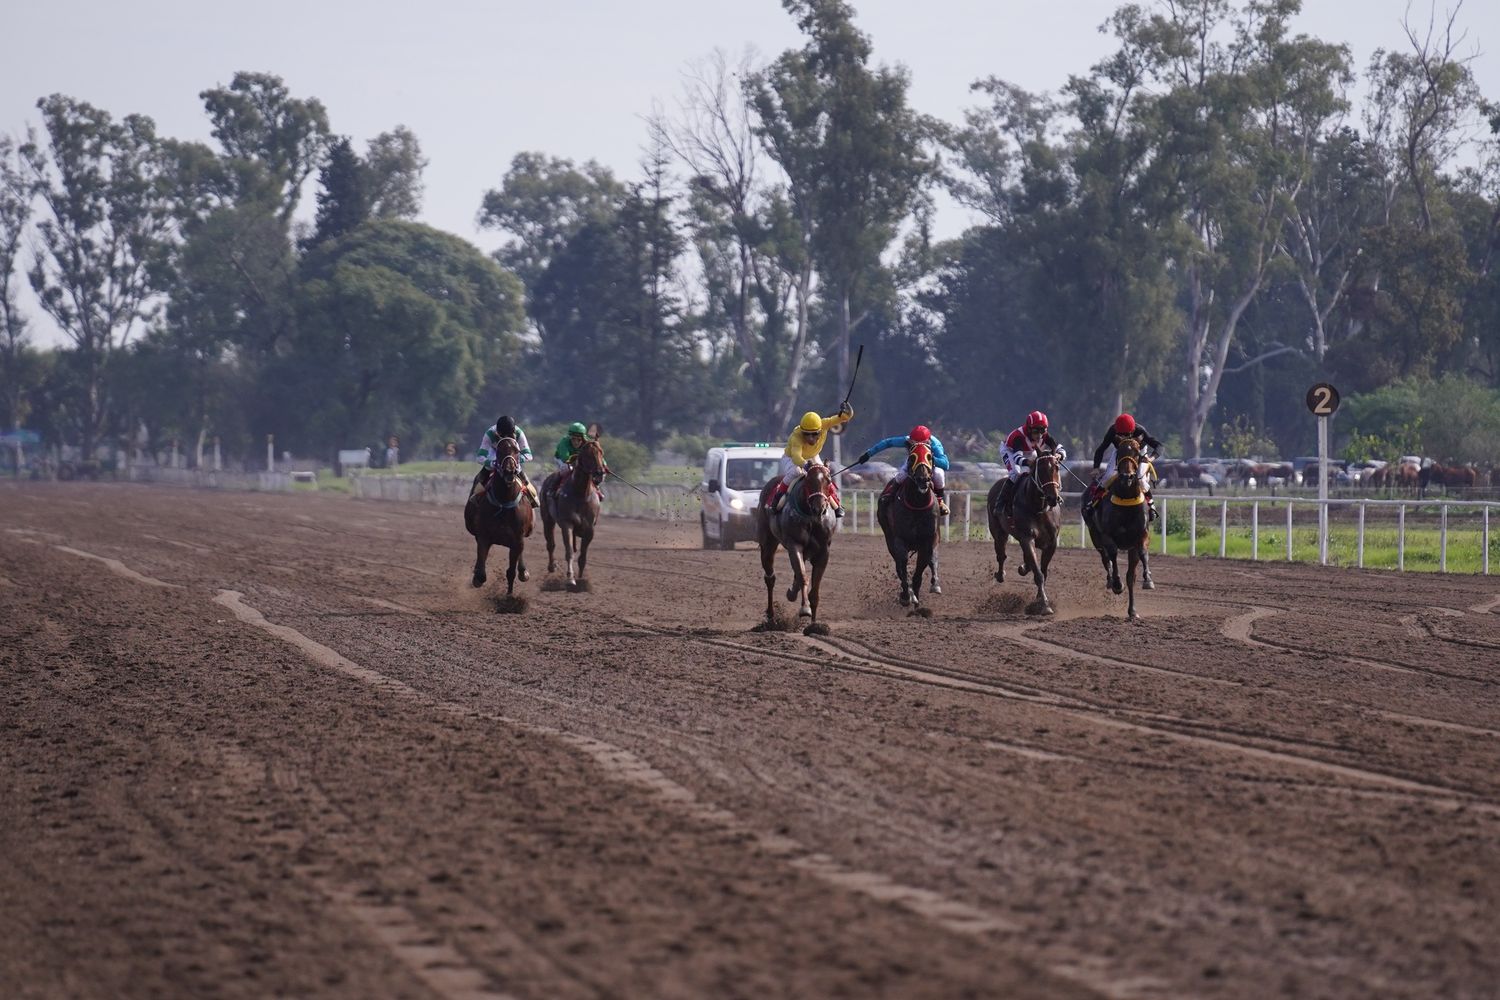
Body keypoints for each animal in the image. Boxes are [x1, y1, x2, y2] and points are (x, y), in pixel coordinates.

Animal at [468, 437, 540, 593]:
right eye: (499, 450)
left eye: (517, 451)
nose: (509, 471)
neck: (503, 501)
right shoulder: (484, 536)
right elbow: (481, 574)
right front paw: (477, 577)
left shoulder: (517, 539)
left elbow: (511, 571)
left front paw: (509, 596)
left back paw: (523, 572)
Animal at [543, 440, 606, 590]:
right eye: (587, 454)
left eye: (601, 452)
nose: (599, 473)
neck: (580, 493)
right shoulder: (567, 524)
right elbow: (570, 551)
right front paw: (571, 579)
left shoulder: (590, 529)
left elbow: (583, 557)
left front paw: (581, 579)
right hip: (547, 519)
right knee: (550, 544)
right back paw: (552, 566)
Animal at [876, 443, 942, 611]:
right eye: (912, 457)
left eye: (930, 456)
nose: (923, 479)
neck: (917, 504)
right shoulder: (899, 540)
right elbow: (902, 566)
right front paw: (906, 596)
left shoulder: (927, 541)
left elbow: (920, 570)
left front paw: (916, 600)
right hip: (889, 537)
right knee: (899, 565)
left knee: (933, 559)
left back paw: (934, 584)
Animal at [984, 449, 1068, 614]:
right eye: (1040, 469)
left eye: (1057, 467)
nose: (1053, 498)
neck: (1038, 507)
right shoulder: (1027, 537)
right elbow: (1038, 574)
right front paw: (1044, 604)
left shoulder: (1051, 543)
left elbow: (1043, 571)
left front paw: (1039, 598)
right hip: (998, 532)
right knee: (1001, 555)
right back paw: (1000, 574)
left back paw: (1023, 567)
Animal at [1086, 440, 1152, 620]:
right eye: (1120, 452)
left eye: (1137, 452)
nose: (1127, 476)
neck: (1126, 498)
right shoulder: (1107, 536)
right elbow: (1113, 554)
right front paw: (1117, 583)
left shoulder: (1140, 536)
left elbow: (1142, 556)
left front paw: (1148, 579)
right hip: (1095, 536)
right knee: (1105, 558)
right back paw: (1110, 581)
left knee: (1130, 574)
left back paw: (1132, 610)